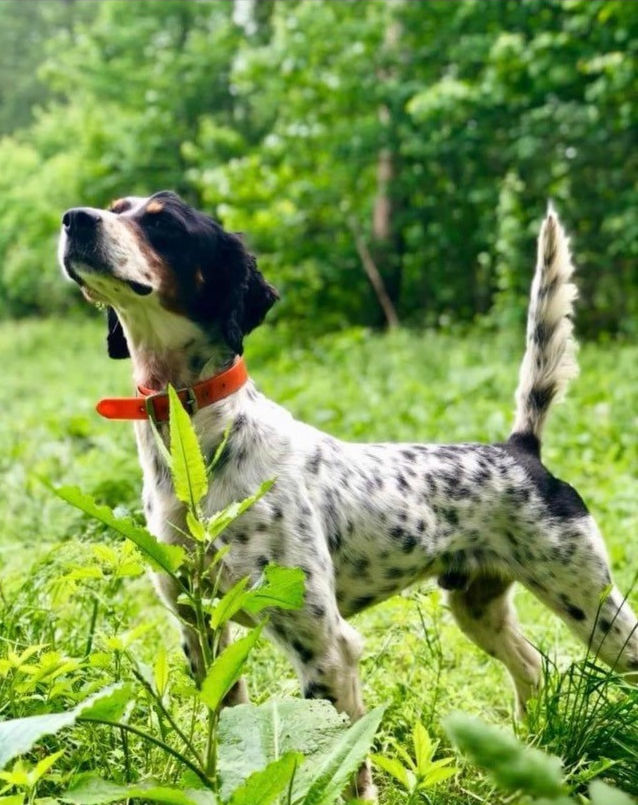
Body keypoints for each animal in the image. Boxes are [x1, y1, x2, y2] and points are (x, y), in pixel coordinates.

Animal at [57, 193, 636, 796]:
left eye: (163, 222)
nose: (75, 218)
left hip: (595, 610)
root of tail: (520, 449)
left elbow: (343, 766)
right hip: (477, 608)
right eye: (117, 206)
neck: (200, 442)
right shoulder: (202, 631)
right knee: (532, 668)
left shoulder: (326, 646)